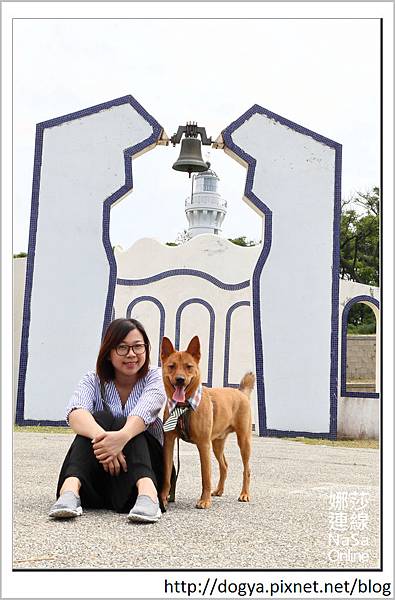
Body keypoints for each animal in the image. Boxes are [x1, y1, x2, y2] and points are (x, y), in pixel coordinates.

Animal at [160, 336, 255, 508]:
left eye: (189, 366)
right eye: (171, 366)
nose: (180, 380)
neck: (184, 407)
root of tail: (240, 392)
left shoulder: (203, 445)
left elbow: (206, 475)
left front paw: (204, 501)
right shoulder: (169, 442)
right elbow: (166, 474)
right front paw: (163, 498)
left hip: (243, 441)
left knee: (247, 469)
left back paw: (244, 494)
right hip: (217, 444)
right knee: (224, 466)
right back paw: (219, 490)